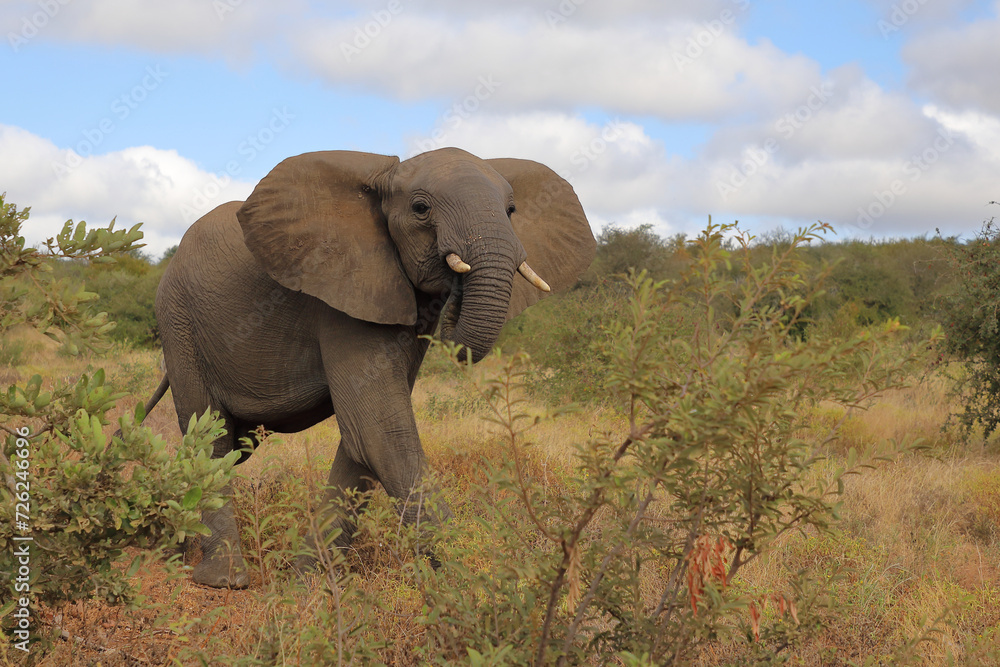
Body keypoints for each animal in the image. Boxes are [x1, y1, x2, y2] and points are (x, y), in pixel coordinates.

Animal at [140, 147, 596, 588]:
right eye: (420, 208)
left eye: (512, 210)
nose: (457, 290)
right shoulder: (343, 295)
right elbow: (378, 432)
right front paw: (475, 589)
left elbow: (362, 443)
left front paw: (310, 586)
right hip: (179, 321)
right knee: (211, 436)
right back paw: (221, 579)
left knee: (232, 446)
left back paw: (166, 545)